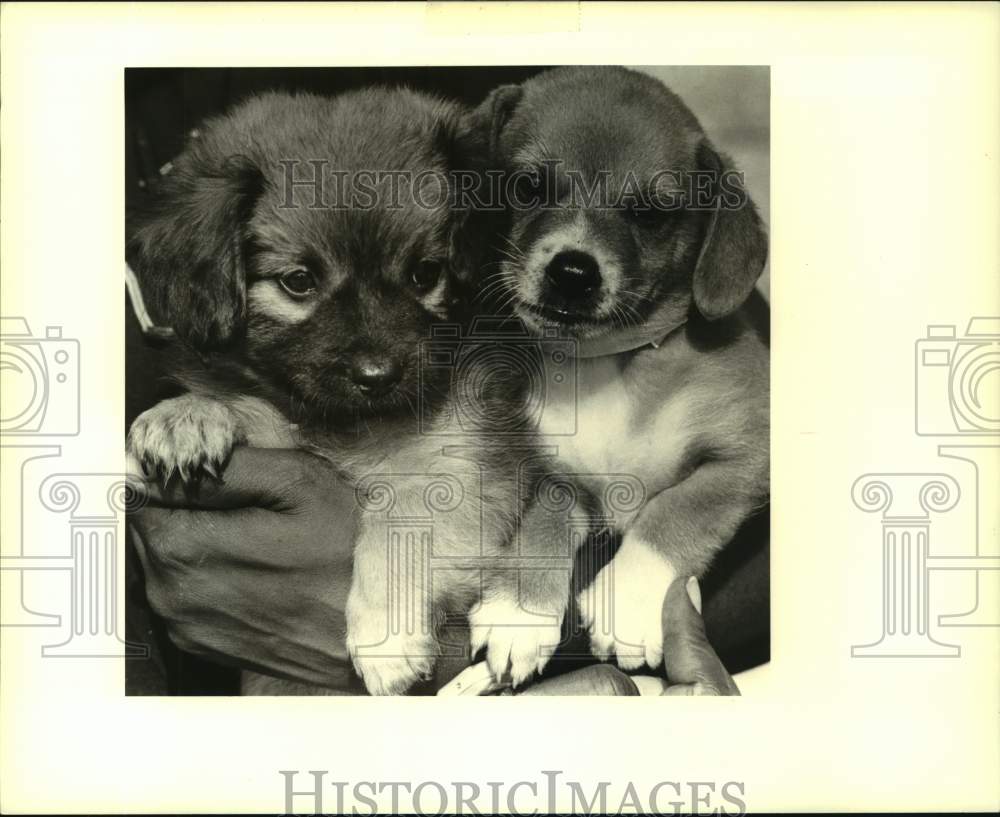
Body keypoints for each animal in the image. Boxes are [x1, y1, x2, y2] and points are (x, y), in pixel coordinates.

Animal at [472, 67, 768, 668]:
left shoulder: (746, 458)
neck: (610, 362)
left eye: (650, 213)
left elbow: (676, 510)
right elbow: (542, 522)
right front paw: (520, 611)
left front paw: (630, 603)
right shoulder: (558, 477)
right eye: (527, 187)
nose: (572, 272)